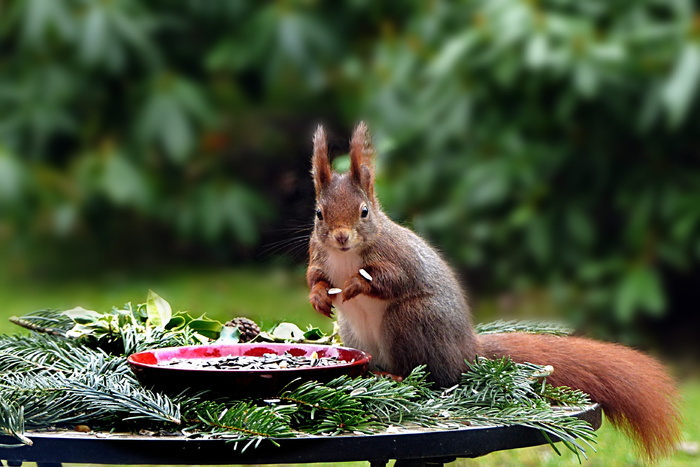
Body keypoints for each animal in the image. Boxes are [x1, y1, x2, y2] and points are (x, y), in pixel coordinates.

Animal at [306, 120, 684, 460]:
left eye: (364, 212)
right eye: (319, 214)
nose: (341, 237)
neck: (346, 256)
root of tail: (467, 351)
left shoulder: (399, 260)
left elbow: (388, 280)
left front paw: (355, 284)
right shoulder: (318, 256)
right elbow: (314, 277)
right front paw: (319, 297)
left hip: (412, 319)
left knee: (432, 374)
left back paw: (396, 375)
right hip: (355, 333)